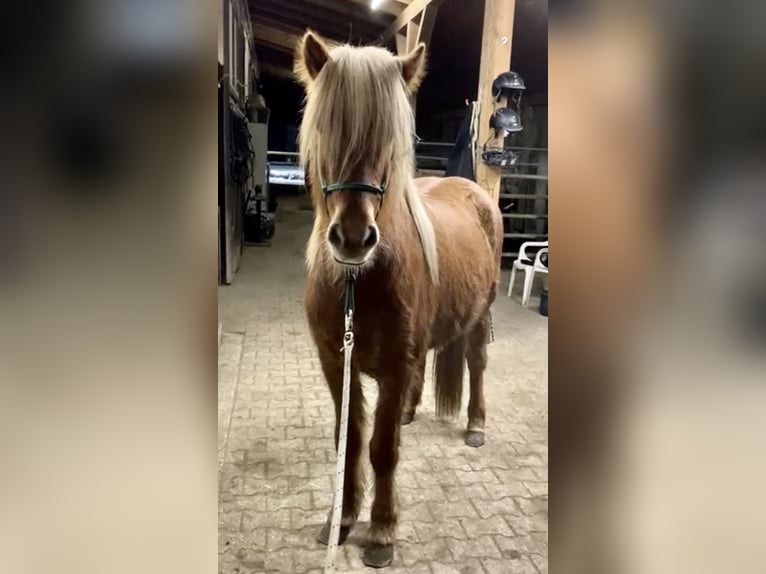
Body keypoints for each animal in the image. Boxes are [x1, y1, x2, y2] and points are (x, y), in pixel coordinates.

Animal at [295, 31, 503, 568]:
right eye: (324, 132)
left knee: (476, 363)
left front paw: (382, 531)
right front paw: (343, 519)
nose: (352, 239)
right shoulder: (337, 364)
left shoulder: (391, 366)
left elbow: (382, 449)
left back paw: (475, 424)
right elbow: (349, 440)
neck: (358, 284)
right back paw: (412, 409)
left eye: (389, 144)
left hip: (480, 316)